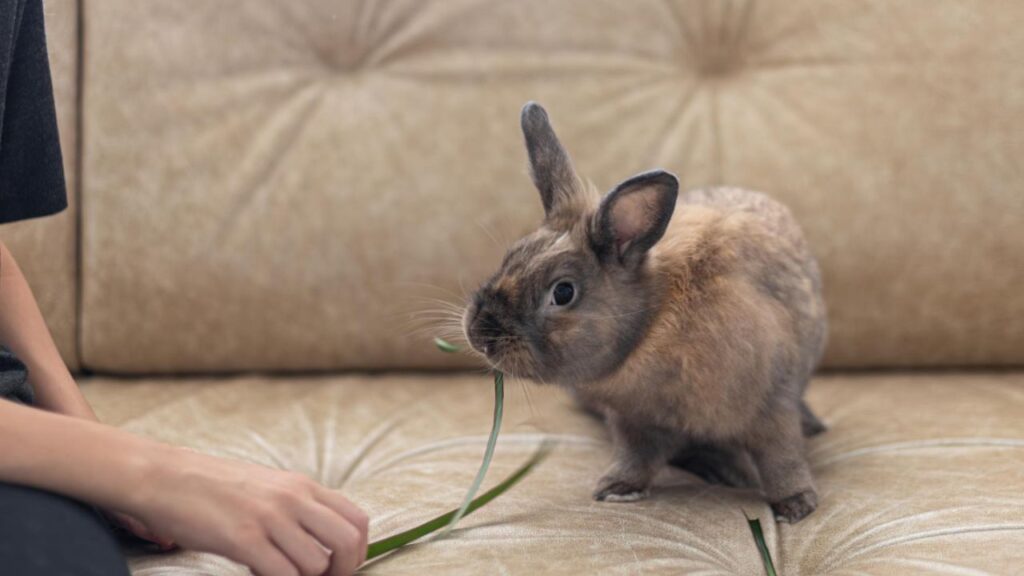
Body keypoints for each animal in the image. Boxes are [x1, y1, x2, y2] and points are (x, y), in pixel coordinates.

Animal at [462, 102, 827, 523]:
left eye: (563, 292)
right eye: (510, 257)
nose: (478, 333)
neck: (653, 326)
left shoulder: (772, 406)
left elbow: (782, 458)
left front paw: (796, 506)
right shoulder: (632, 420)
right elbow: (636, 458)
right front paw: (616, 488)